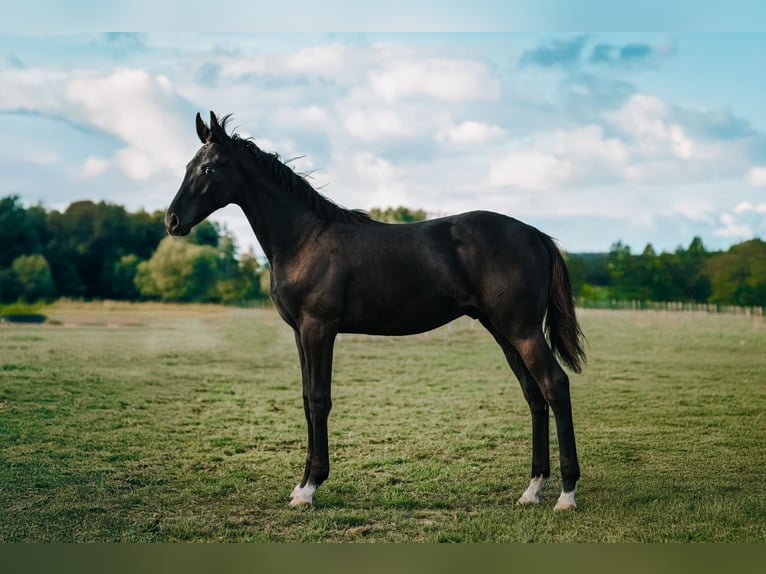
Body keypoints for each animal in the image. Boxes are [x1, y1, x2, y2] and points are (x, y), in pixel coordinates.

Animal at [165, 112, 586, 510]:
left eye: (208, 168)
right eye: (188, 165)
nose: (172, 221)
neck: (303, 238)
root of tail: (535, 234)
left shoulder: (318, 329)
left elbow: (319, 399)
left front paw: (310, 487)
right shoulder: (299, 333)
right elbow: (305, 398)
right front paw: (302, 484)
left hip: (522, 330)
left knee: (555, 386)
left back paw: (566, 495)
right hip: (502, 331)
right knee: (534, 395)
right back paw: (532, 489)